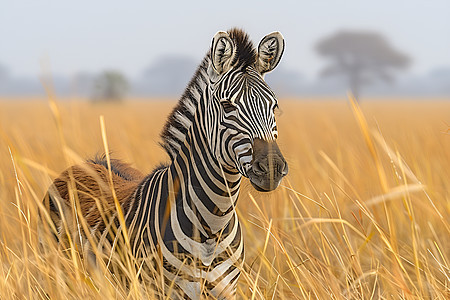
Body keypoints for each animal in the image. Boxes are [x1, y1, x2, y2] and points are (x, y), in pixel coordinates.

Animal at [43, 27, 288, 298]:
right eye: (226, 106)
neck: (211, 226)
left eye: (274, 107)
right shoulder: (159, 289)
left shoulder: (226, 290)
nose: (272, 169)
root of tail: (87, 163)